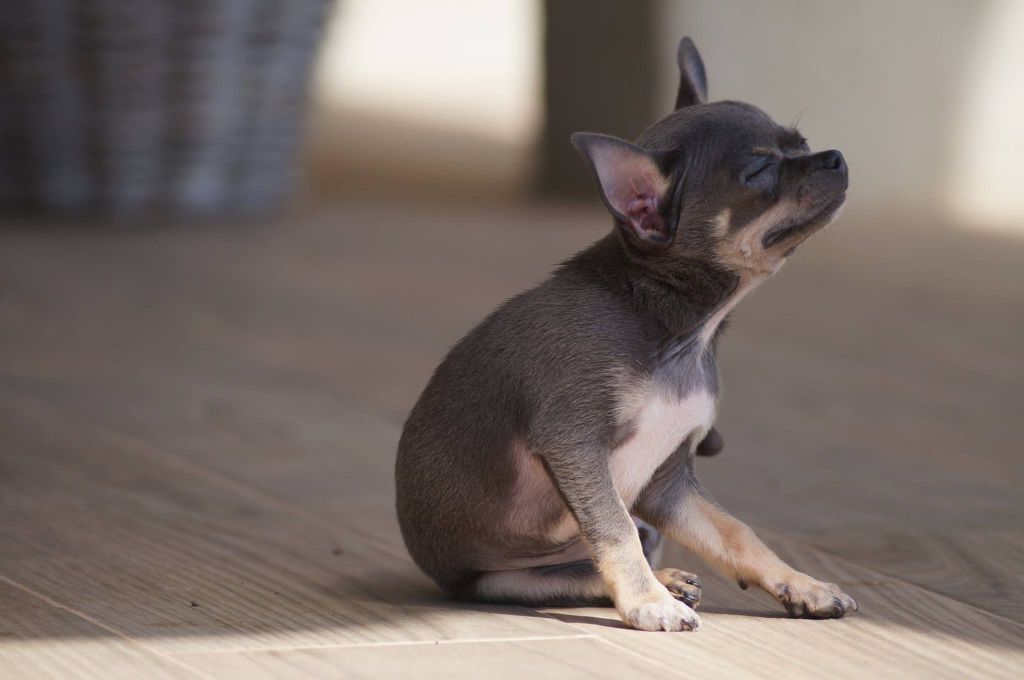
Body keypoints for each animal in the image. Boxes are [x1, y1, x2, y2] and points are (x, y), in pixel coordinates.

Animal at [395, 37, 856, 632]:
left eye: (802, 145)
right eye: (758, 172)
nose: (837, 156)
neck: (678, 327)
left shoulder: (668, 485)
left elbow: (735, 533)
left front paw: (801, 585)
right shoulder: (575, 444)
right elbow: (613, 531)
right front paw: (645, 602)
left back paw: (670, 579)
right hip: (499, 580)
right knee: (576, 571)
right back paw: (659, 588)